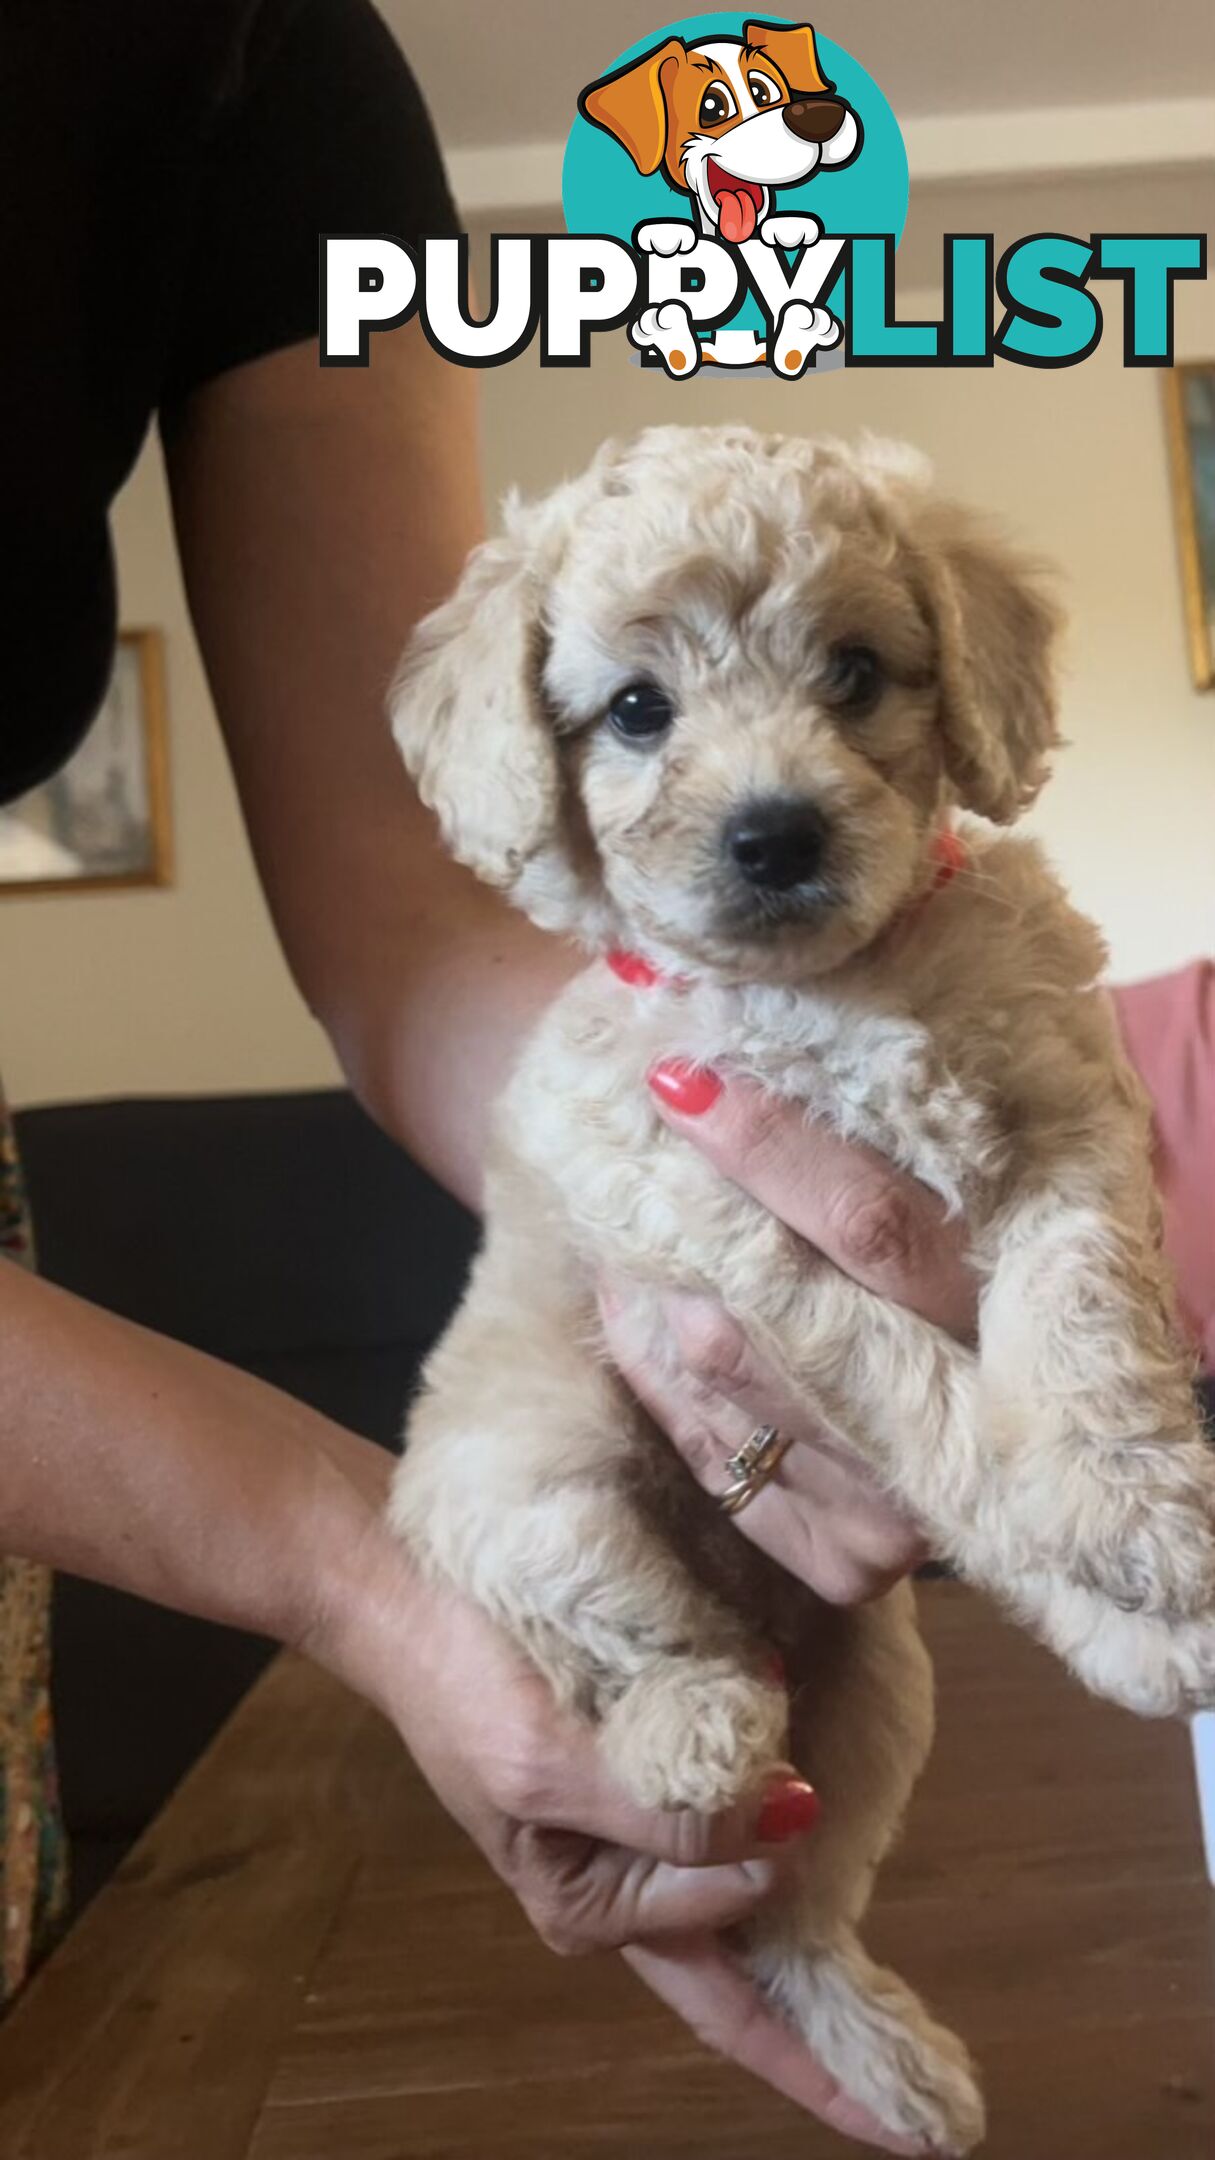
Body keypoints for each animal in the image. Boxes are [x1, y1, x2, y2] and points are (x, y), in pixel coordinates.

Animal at [384, 425, 1210, 2160]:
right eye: (636, 708)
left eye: (853, 673)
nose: (775, 835)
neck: (831, 987)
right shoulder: (718, 1227)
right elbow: (927, 1398)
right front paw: (1084, 1528)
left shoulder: (1069, 1126)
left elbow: (1077, 1314)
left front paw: (1133, 1512)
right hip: (526, 1479)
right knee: (635, 1651)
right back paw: (690, 1726)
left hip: (883, 1697)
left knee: (795, 1915)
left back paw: (894, 2047)